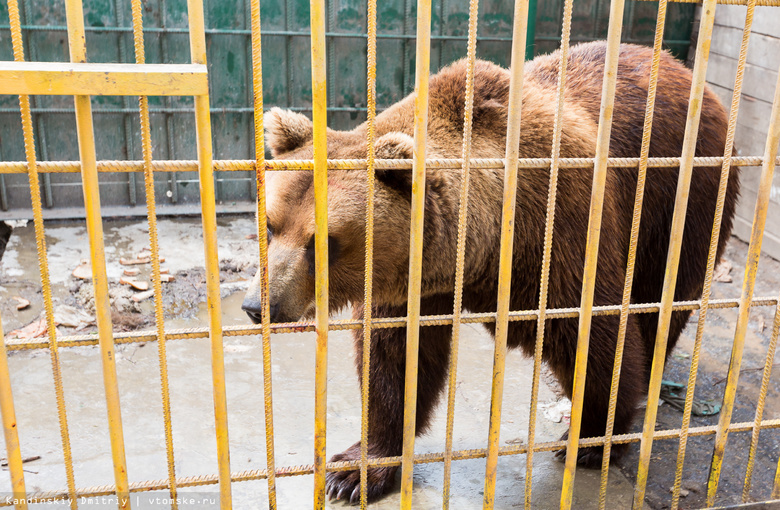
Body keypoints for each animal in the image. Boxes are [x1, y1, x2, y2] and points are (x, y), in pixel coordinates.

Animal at [242, 40, 736, 502]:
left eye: (323, 242)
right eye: (271, 226)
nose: (256, 305)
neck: (480, 250)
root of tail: (681, 68)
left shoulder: (558, 234)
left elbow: (592, 335)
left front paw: (593, 439)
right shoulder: (410, 285)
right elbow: (394, 360)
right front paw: (356, 470)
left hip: (680, 199)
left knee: (662, 303)